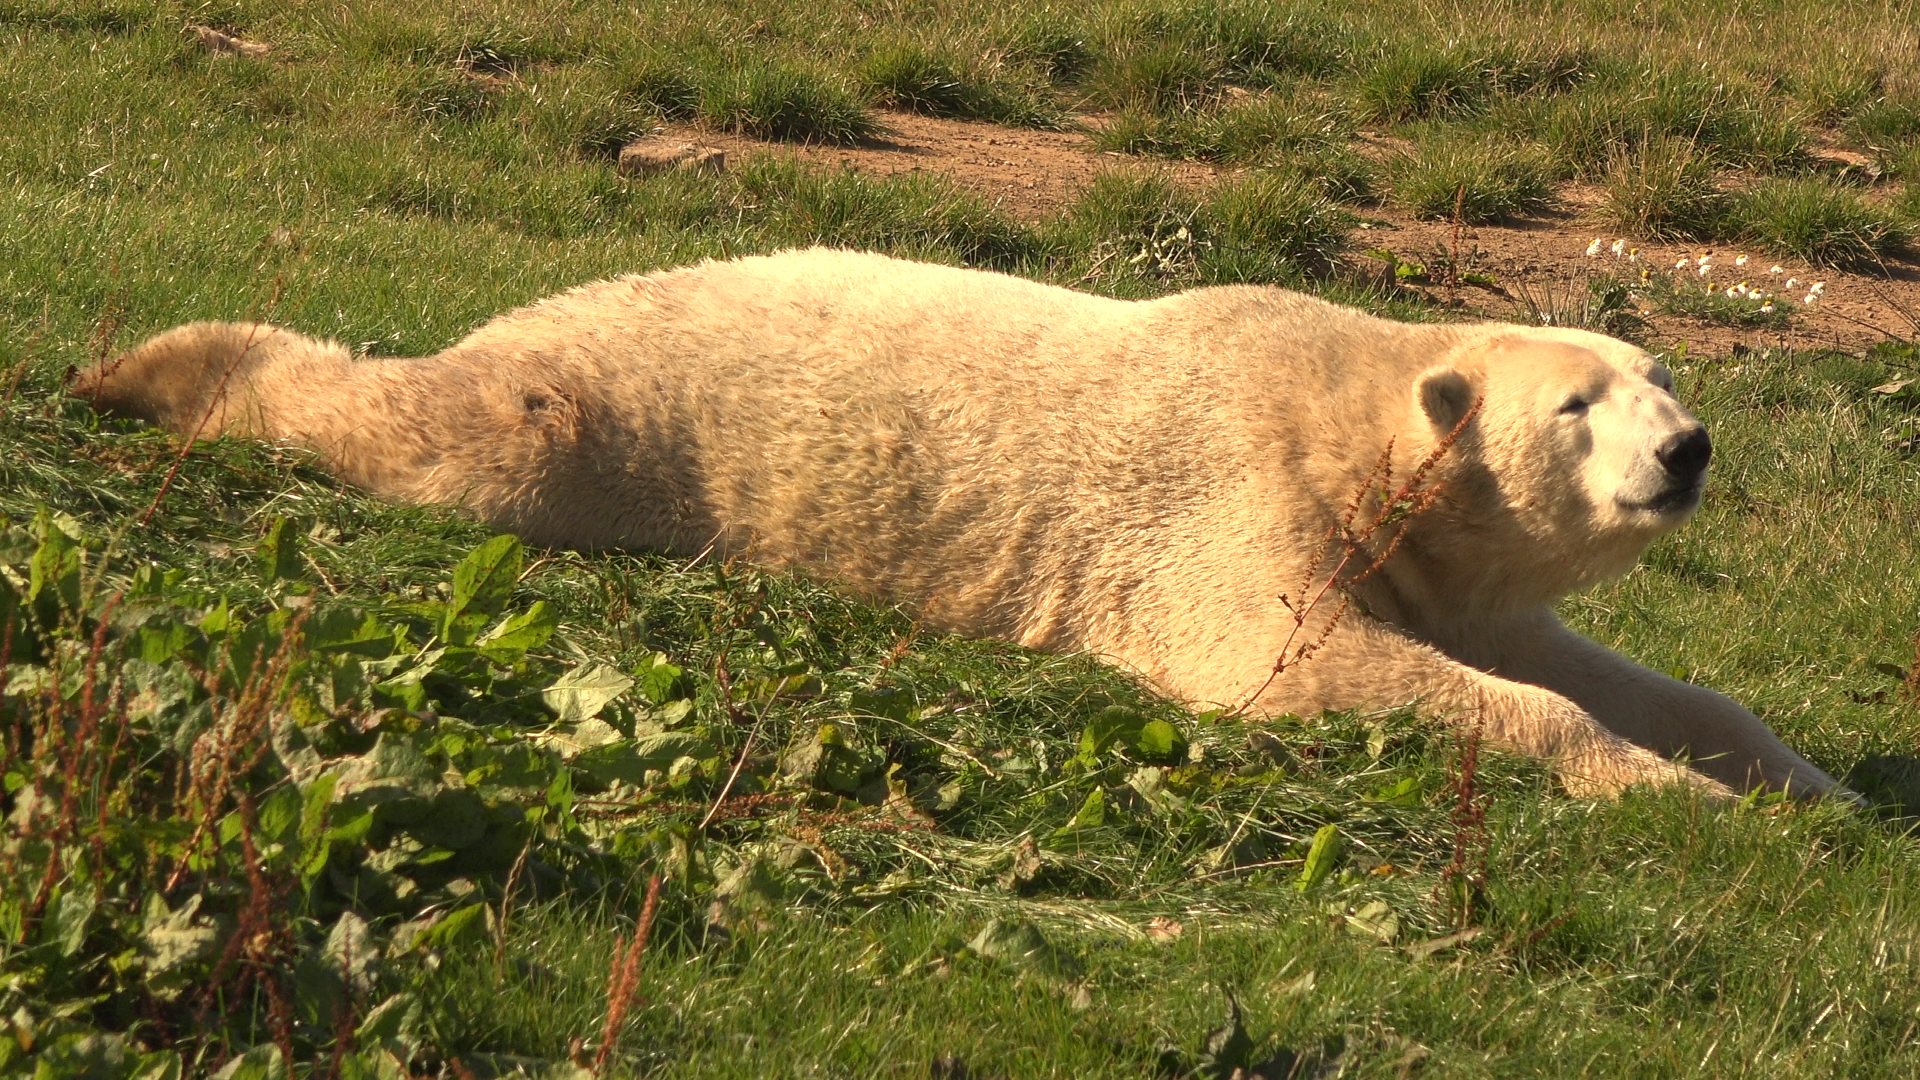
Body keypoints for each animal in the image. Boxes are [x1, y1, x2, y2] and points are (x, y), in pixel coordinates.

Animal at [75, 247, 1844, 799]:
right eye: (1577, 404)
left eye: (1662, 374)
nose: (1689, 450)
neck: (1344, 406)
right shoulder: (1232, 500)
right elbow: (1291, 661)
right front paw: (1663, 790)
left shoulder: (1448, 564)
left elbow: (1598, 661)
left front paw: (1805, 785)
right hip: (600, 418)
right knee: (442, 429)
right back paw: (156, 367)